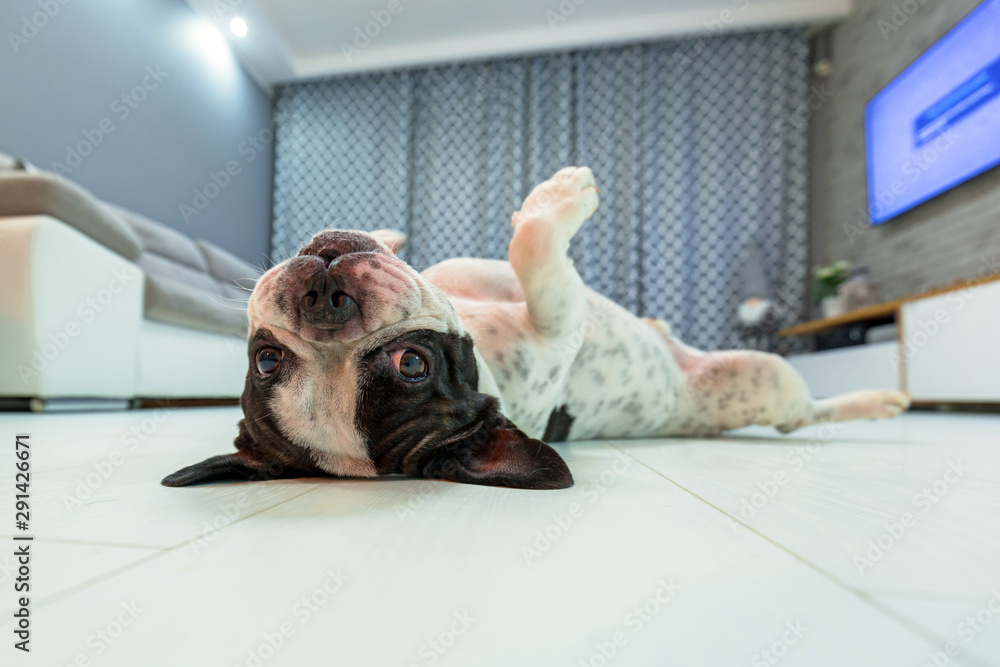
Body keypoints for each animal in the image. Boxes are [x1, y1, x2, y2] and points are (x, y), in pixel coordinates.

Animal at [160, 167, 912, 490]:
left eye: (265, 360)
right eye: (414, 365)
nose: (324, 295)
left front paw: (390, 232)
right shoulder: (558, 324)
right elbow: (536, 253)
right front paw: (562, 196)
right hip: (765, 380)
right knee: (804, 411)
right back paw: (878, 401)